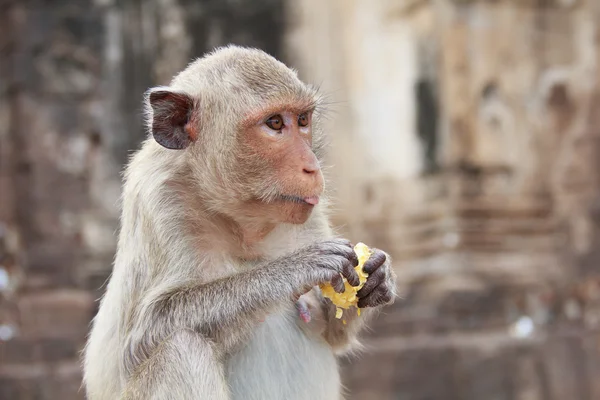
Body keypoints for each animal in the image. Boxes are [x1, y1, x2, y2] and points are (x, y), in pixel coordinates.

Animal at [82, 44, 396, 400]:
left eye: (302, 120)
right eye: (275, 123)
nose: (312, 167)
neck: (240, 223)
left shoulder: (309, 212)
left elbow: (331, 331)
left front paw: (378, 276)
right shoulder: (159, 199)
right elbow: (145, 335)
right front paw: (298, 267)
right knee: (180, 348)